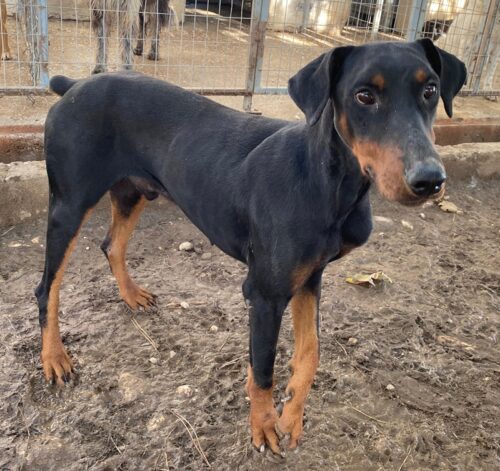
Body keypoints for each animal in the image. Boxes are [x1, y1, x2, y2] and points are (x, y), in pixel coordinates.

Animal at [37, 39, 466, 453]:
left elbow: (309, 355)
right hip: (68, 206)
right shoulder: (265, 293)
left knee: (112, 245)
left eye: (430, 90)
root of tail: (74, 85)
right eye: (364, 96)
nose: (429, 180)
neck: (326, 181)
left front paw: (291, 417)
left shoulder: (310, 278)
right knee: (47, 288)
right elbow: (263, 370)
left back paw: (130, 295)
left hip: (132, 192)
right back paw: (55, 358)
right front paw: (264, 427)